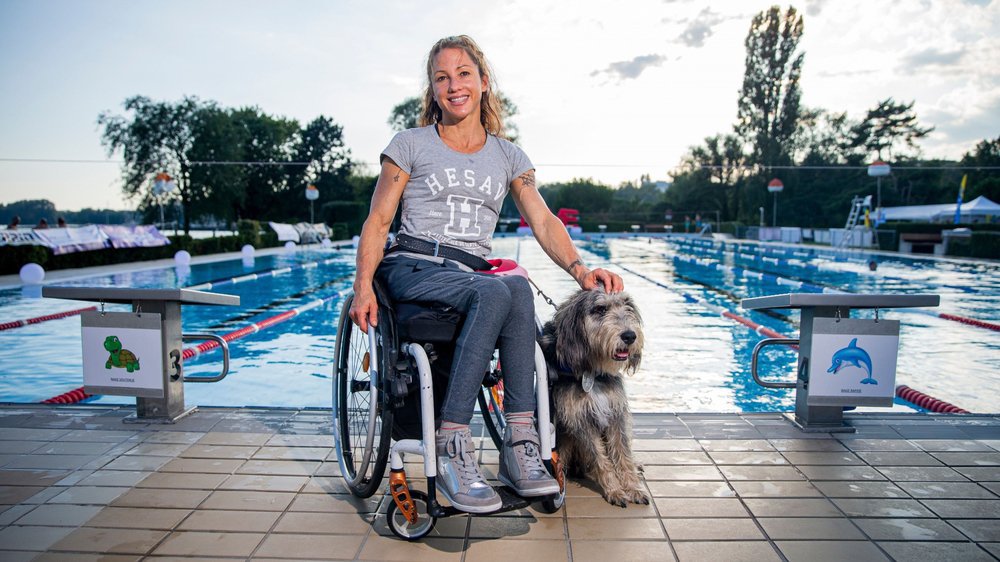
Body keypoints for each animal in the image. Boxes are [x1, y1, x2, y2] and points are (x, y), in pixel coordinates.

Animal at [540, 286, 648, 506]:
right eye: (600, 309)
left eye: (627, 305)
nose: (630, 336)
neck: (592, 371)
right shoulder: (580, 419)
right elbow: (599, 457)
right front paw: (615, 490)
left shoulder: (615, 412)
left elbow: (622, 452)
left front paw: (633, 487)